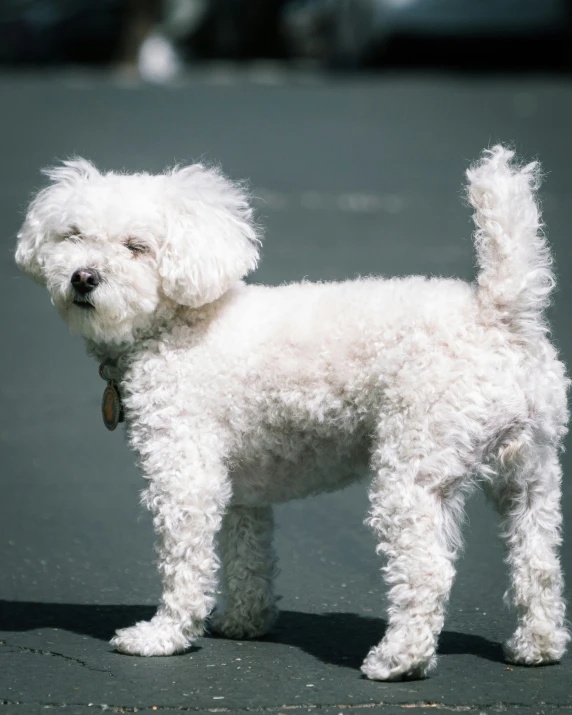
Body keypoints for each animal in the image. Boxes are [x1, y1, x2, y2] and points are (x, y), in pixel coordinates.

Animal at [15, 147, 568, 684]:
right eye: (73, 234)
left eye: (136, 246)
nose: (83, 277)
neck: (178, 322)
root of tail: (496, 314)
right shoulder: (243, 489)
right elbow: (246, 555)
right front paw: (245, 622)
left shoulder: (186, 473)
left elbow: (185, 562)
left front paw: (164, 635)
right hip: (530, 473)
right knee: (538, 562)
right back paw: (537, 647)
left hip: (414, 470)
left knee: (428, 571)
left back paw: (398, 661)